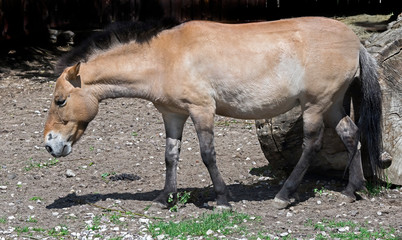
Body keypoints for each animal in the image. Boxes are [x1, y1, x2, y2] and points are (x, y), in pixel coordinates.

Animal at [43, 16, 384, 209]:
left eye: (60, 100)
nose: (50, 144)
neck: (165, 58)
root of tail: (355, 41)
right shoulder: (173, 115)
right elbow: (170, 156)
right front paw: (163, 200)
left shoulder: (202, 110)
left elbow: (208, 155)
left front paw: (221, 200)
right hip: (332, 104)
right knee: (350, 134)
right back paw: (351, 190)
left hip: (314, 105)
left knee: (312, 145)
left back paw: (284, 196)